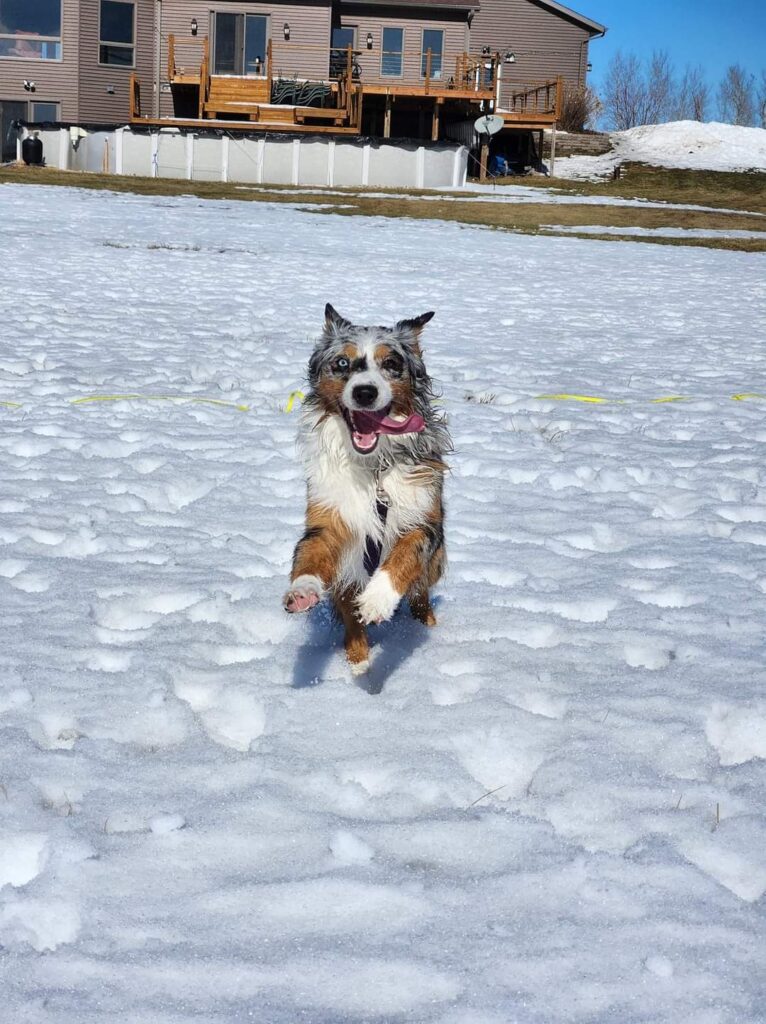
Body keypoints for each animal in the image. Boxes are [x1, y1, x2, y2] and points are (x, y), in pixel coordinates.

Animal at [280, 301, 448, 671]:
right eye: (342, 363)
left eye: (392, 364)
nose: (365, 392)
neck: (374, 471)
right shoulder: (330, 515)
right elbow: (311, 554)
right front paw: (303, 591)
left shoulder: (424, 519)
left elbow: (404, 556)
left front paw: (377, 599)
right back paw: (359, 661)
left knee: (421, 592)